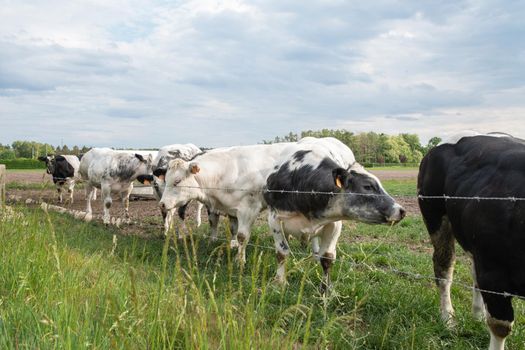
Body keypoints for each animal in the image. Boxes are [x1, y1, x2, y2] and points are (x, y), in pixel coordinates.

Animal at [158, 141, 292, 264]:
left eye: (177, 181)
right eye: (166, 179)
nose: (162, 204)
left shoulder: (249, 209)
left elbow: (242, 236)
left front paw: (240, 260)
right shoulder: (229, 209)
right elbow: (229, 228)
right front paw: (230, 245)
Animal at [266, 137, 406, 292]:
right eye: (368, 186)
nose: (401, 210)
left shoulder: (334, 224)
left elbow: (327, 258)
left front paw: (326, 289)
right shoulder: (274, 218)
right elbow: (282, 252)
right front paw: (280, 282)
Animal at [418, 132, 524, 350]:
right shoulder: (494, 274)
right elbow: (500, 326)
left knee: (474, 273)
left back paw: (477, 314)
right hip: (435, 216)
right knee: (444, 268)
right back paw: (448, 318)